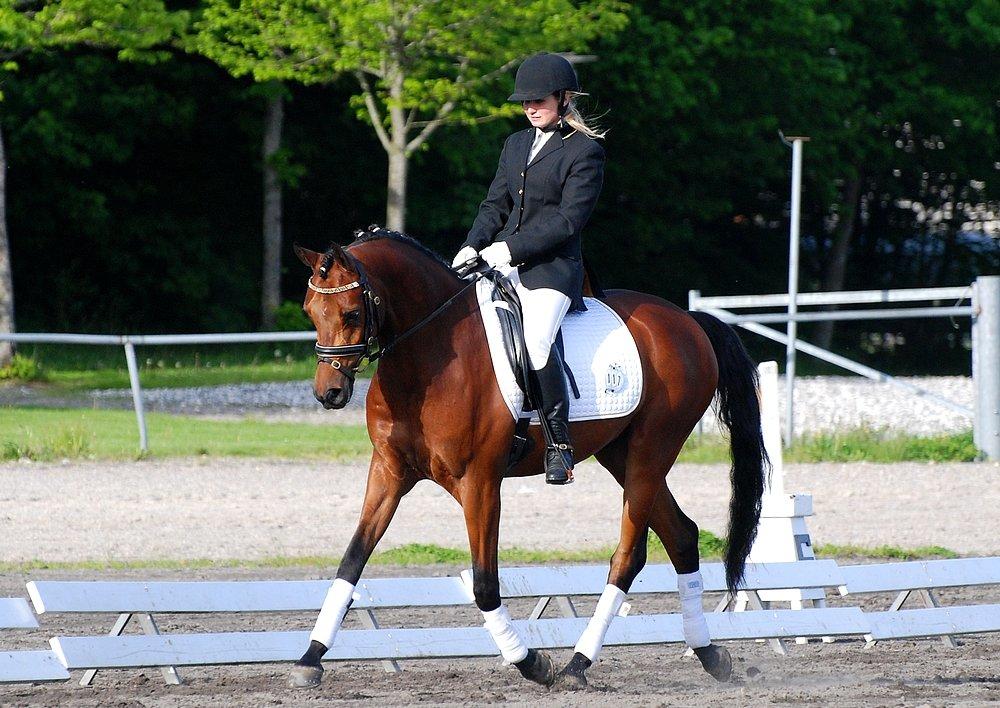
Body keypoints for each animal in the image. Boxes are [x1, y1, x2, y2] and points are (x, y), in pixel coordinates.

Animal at [286, 228, 768, 692]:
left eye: (351, 313)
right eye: (310, 312)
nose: (328, 393)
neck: (428, 355)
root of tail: (686, 320)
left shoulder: (479, 482)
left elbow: (484, 584)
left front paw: (532, 664)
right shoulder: (388, 472)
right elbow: (351, 561)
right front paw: (309, 660)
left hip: (652, 451)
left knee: (629, 556)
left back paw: (577, 665)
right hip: (621, 454)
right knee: (682, 535)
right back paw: (710, 655)